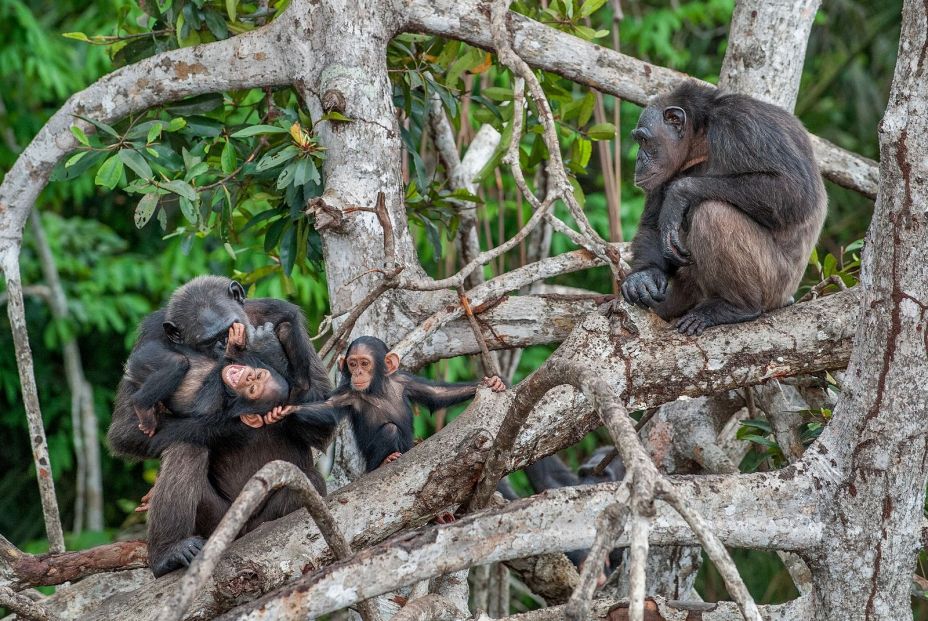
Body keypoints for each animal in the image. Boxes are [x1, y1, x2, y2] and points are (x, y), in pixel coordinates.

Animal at [265, 335, 506, 473]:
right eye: (352, 364)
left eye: (364, 363)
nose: (358, 373)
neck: (377, 389)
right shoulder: (347, 394)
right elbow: (326, 410)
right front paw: (284, 411)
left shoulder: (405, 381)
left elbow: (436, 394)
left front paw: (490, 382)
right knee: (389, 430)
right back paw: (384, 462)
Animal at [621, 82, 827, 336]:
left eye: (644, 140)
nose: (638, 159)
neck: (701, 139)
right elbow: (651, 223)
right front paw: (643, 277)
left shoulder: (742, 124)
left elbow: (794, 190)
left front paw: (679, 193)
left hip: (776, 284)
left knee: (713, 213)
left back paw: (735, 307)